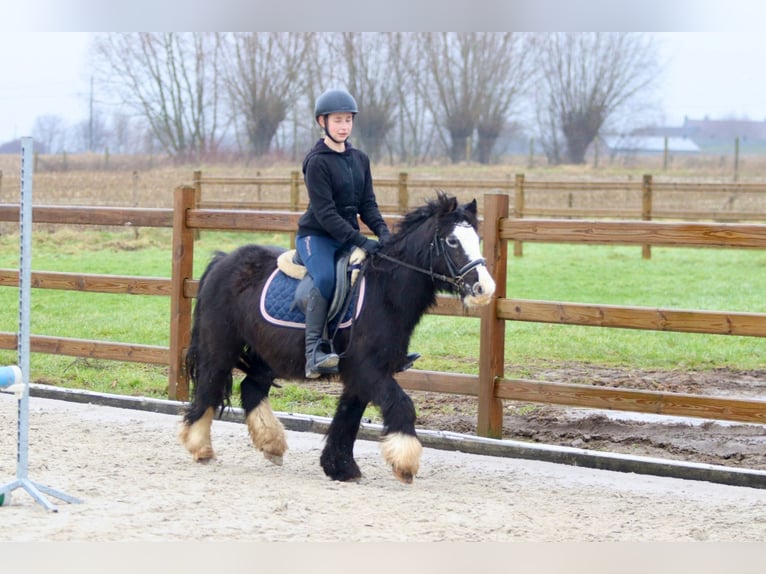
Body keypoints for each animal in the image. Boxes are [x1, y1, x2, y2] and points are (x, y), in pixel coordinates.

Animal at [183, 192, 500, 482]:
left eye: (476, 239)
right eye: (452, 241)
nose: (484, 289)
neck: (383, 291)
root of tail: (223, 260)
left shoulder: (363, 372)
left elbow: (348, 417)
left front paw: (340, 467)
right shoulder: (367, 368)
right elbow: (401, 405)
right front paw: (405, 463)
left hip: (268, 353)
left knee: (251, 387)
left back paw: (271, 444)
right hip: (220, 345)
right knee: (209, 386)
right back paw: (200, 447)